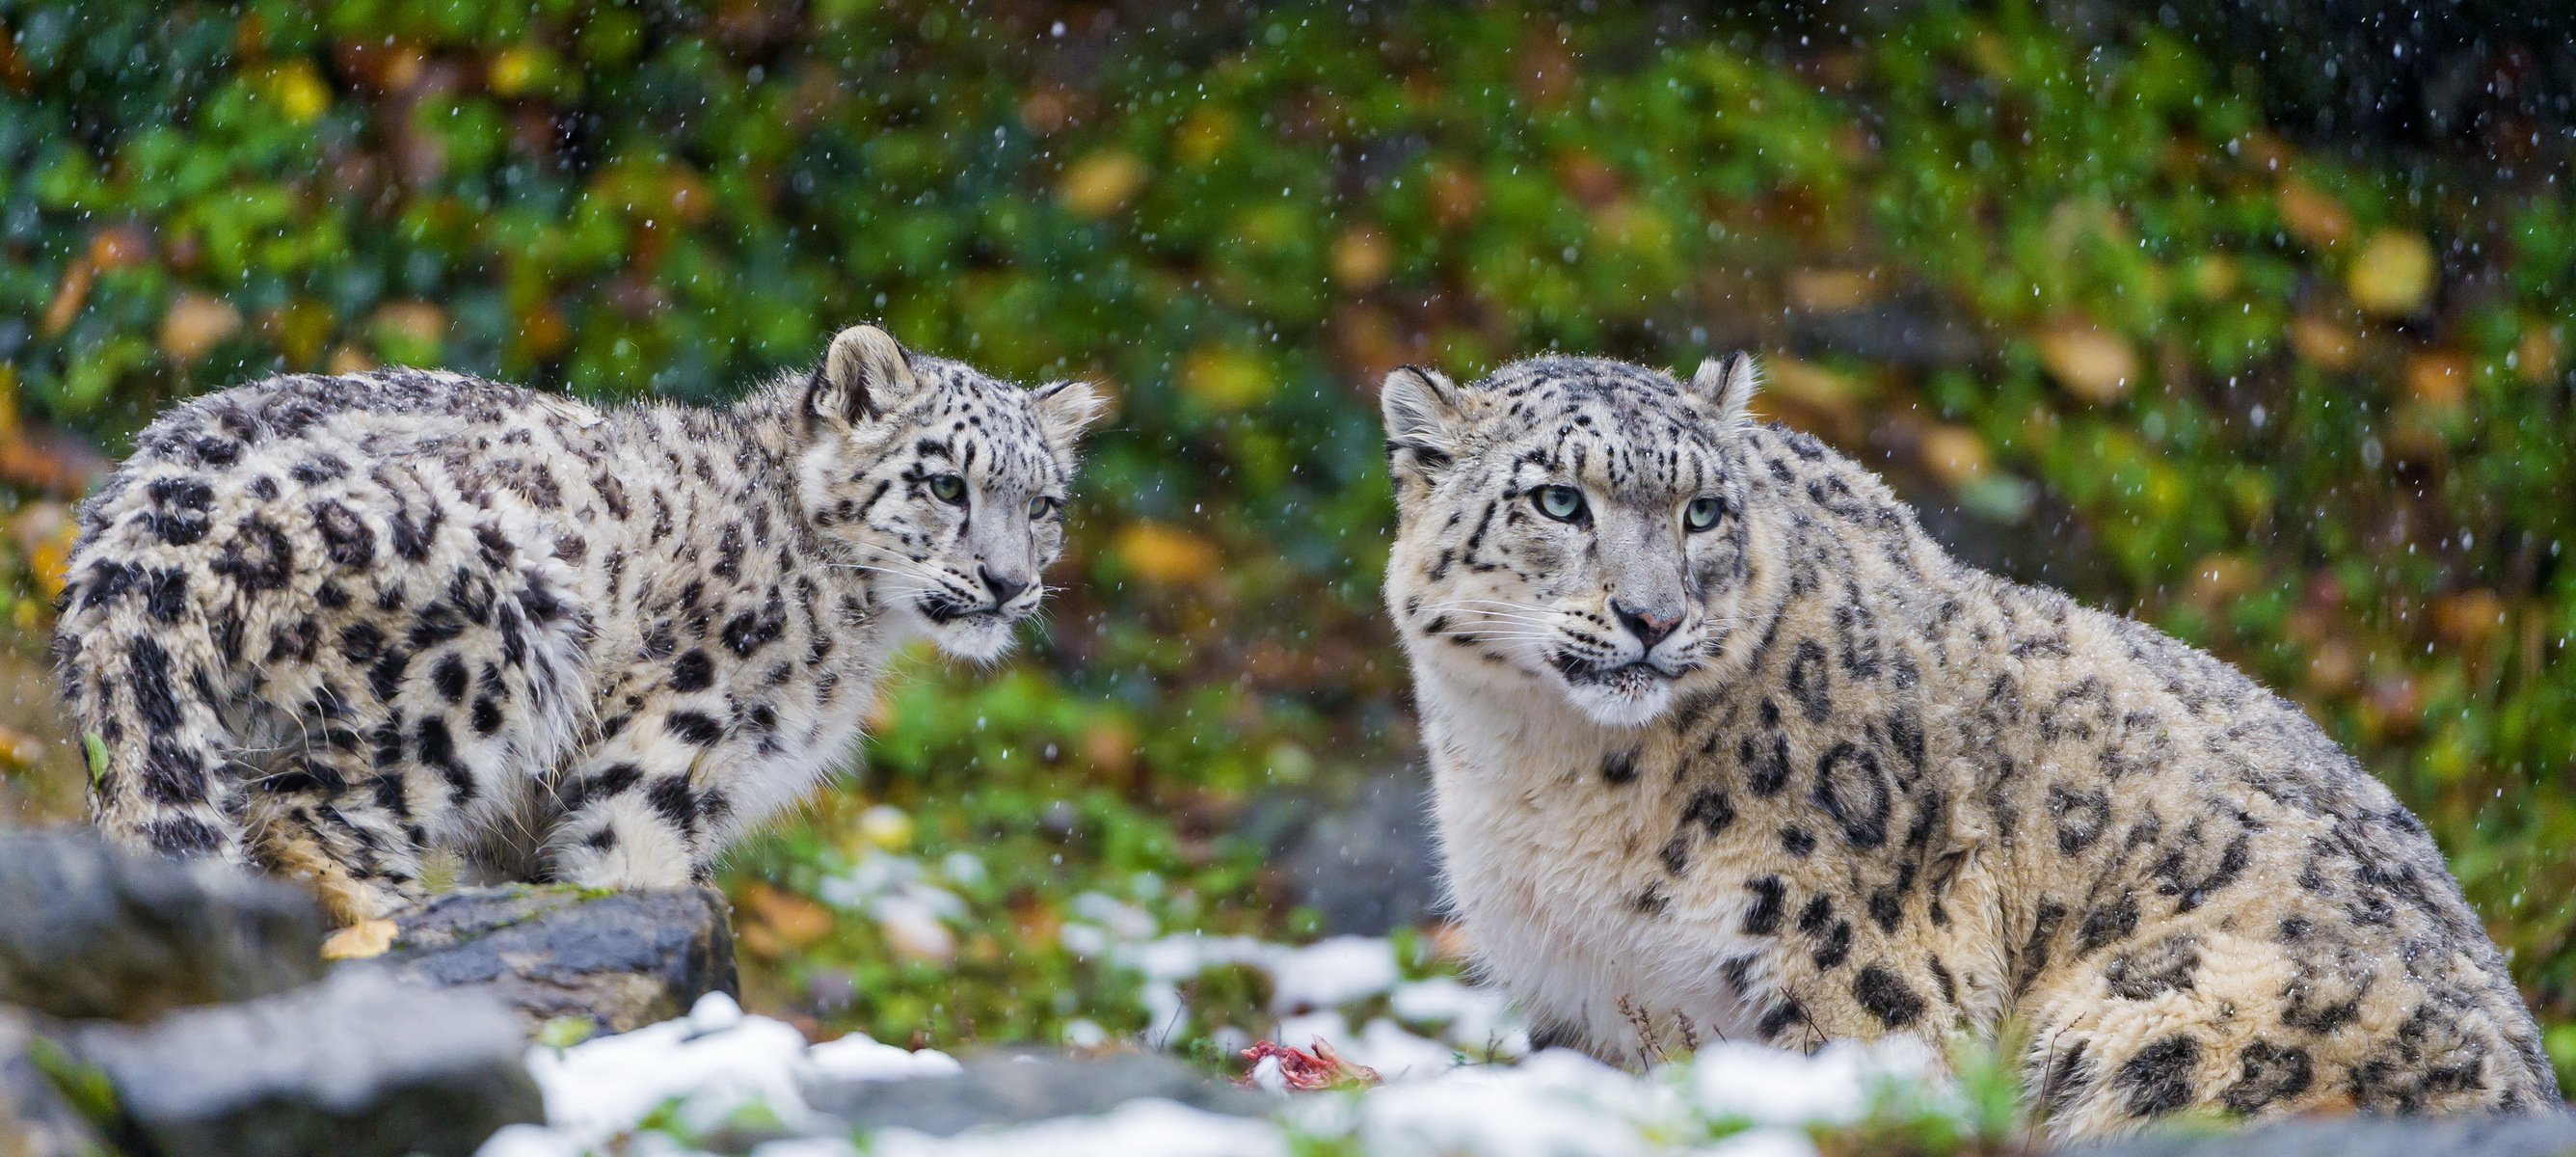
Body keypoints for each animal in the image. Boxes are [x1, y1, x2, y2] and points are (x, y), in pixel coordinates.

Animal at [56, 324, 1105, 925]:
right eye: (945, 483)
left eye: (1044, 502)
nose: (1010, 582)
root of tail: (142, 517)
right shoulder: (669, 743)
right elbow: (634, 862)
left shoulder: (521, 827)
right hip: (479, 654)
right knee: (307, 817)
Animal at [1378, 351, 2558, 1139]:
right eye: (1557, 500)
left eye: (1704, 512)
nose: (1652, 617)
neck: (1549, 779)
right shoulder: (1579, 1008)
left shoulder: (1852, 973)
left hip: (2158, 1020)